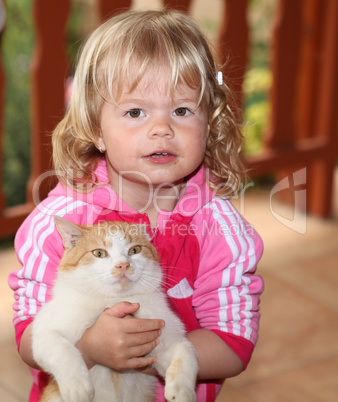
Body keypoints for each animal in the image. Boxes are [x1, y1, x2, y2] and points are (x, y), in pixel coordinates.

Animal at [31, 217, 198, 402]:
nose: (123, 265)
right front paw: (77, 386)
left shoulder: (167, 339)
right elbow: (62, 350)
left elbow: (186, 353)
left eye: (135, 250)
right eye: (99, 253)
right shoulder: (45, 330)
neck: (114, 300)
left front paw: (182, 390)